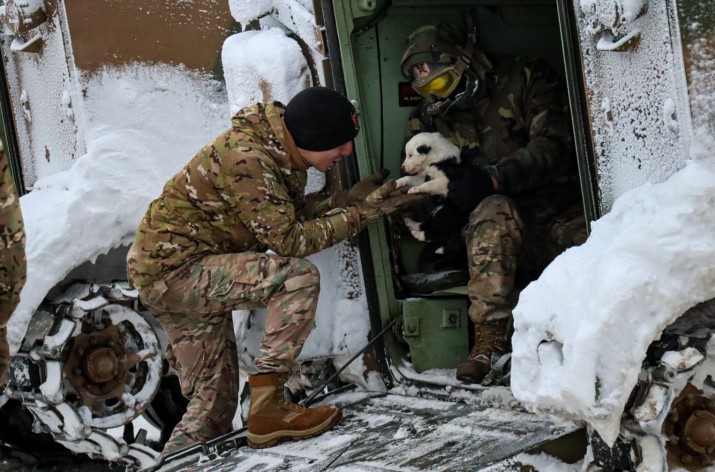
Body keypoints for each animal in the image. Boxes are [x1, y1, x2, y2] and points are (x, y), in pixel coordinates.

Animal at [398, 132, 476, 270]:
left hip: (447, 213)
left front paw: (415, 189)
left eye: (410, 155)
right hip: (440, 211)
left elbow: (428, 184)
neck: (436, 157)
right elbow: (411, 178)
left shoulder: (445, 181)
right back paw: (410, 223)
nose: (402, 167)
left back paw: (420, 236)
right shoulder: (424, 176)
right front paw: (398, 182)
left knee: (438, 234)